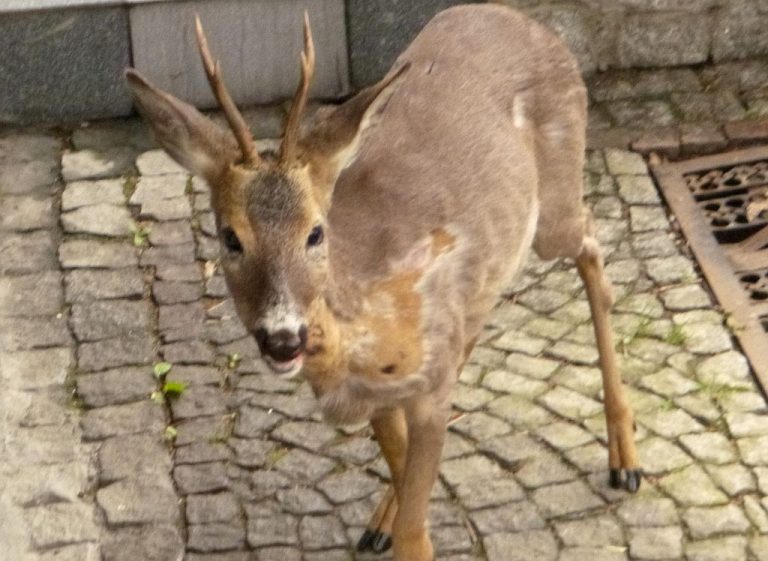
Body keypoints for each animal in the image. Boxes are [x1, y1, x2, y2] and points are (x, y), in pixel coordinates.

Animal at [127, 5, 640, 560]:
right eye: (229, 237)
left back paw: (625, 459)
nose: (283, 338)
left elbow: (416, 531)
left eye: (315, 231)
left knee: (591, 240)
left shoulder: (430, 388)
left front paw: (403, 527)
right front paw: (386, 520)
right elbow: (405, 478)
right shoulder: (387, 395)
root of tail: (527, 21)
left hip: (555, 204)